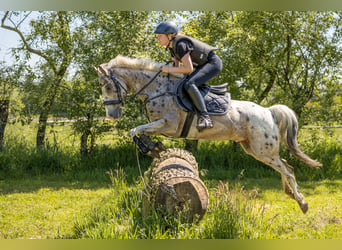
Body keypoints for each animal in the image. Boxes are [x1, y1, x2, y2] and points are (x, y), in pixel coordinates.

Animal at [95, 54, 322, 213]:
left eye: (107, 86)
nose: (111, 116)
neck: (158, 89)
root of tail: (269, 111)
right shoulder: (162, 126)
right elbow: (135, 131)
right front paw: (154, 147)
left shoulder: (169, 125)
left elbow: (135, 130)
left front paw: (150, 147)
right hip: (254, 149)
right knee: (286, 166)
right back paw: (290, 194)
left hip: (263, 150)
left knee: (288, 170)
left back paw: (302, 202)